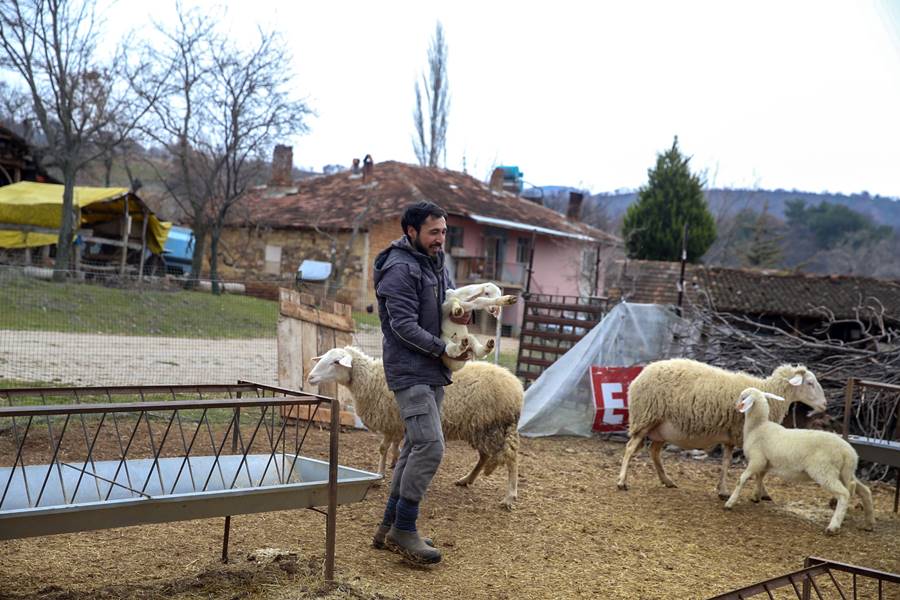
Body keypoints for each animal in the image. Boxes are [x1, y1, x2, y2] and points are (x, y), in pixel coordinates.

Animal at [308, 344, 524, 508]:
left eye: (335, 362)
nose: (310, 377)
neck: (370, 380)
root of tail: (517, 388)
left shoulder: (391, 422)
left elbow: (382, 448)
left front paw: (380, 475)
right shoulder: (398, 424)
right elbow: (393, 447)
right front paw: (394, 462)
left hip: (494, 426)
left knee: (511, 457)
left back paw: (509, 496)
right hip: (480, 427)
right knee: (485, 456)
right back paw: (466, 479)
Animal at [616, 358, 828, 500]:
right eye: (810, 383)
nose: (825, 405)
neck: (767, 394)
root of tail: (639, 376)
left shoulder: (730, 436)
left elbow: (726, 462)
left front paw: (723, 490)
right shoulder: (743, 435)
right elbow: (757, 469)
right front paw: (761, 493)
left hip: (661, 429)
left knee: (654, 453)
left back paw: (666, 480)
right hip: (645, 418)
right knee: (630, 448)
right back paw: (621, 481)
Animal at [724, 390, 880, 536]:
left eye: (743, 396)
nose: (735, 406)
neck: (758, 427)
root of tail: (849, 453)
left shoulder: (757, 460)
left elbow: (741, 479)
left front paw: (730, 502)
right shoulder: (765, 462)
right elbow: (759, 477)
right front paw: (756, 496)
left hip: (825, 471)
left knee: (844, 494)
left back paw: (833, 526)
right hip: (845, 472)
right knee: (864, 490)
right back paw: (869, 523)